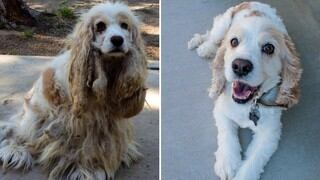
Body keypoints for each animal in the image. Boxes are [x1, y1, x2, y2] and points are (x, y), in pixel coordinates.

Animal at [0, 1, 148, 180]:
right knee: (16, 133)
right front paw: (86, 170)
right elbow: (83, 146)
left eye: (124, 25)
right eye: (100, 26)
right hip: (35, 118)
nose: (117, 39)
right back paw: (16, 151)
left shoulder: (108, 121)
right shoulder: (79, 120)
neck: (107, 69)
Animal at [189, 1, 302, 180]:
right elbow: (227, 134)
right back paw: (204, 47)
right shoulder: (221, 110)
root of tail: (255, 3)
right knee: (212, 36)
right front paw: (227, 162)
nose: (240, 66)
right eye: (234, 42)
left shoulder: (271, 133)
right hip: (222, 24)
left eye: (269, 48)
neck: (247, 105)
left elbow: (254, 161)